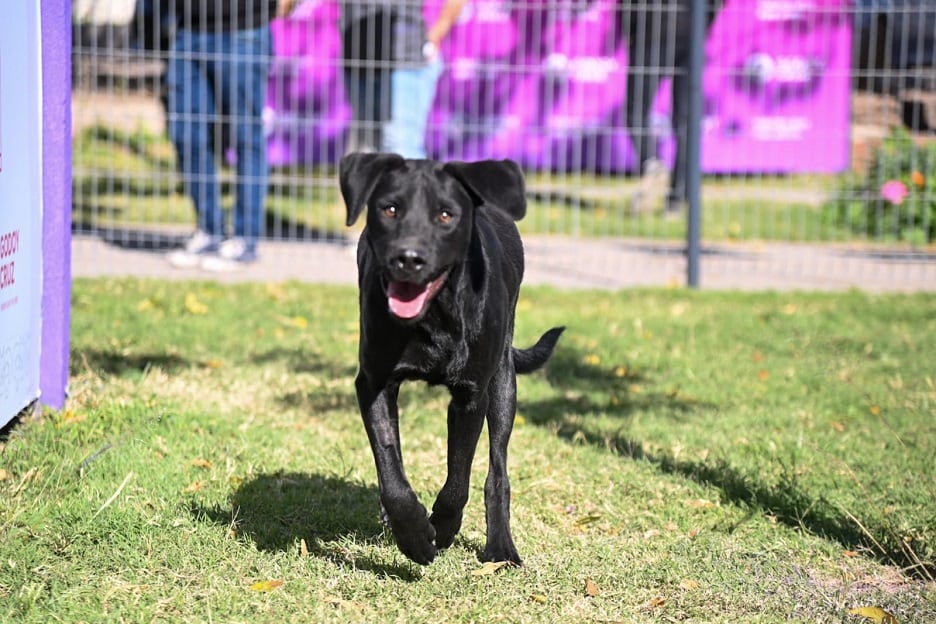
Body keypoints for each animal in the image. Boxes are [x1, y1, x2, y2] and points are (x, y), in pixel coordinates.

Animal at [342, 152, 568, 564]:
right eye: (390, 209)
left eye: (445, 215)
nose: (408, 259)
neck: (434, 316)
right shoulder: (373, 382)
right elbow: (391, 468)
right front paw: (415, 535)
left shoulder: (471, 393)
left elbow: (459, 476)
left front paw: (444, 528)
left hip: (504, 383)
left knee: (497, 471)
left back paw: (501, 547)